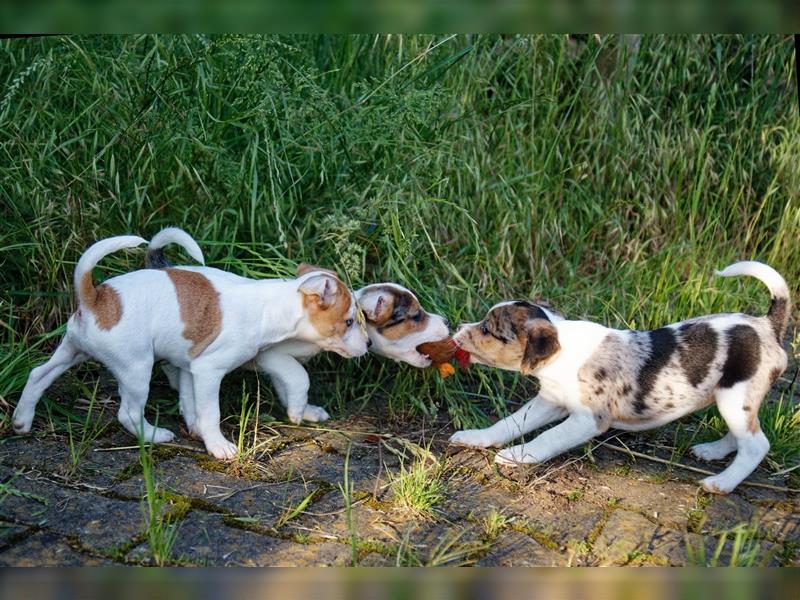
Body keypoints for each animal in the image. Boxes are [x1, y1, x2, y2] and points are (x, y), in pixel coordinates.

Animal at [12, 232, 368, 458]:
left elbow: (191, 401)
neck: (270, 306)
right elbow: (211, 412)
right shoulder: (209, 369)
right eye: (350, 321)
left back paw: (22, 420)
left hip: (72, 351)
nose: (366, 344)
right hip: (137, 368)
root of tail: (95, 298)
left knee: (38, 375)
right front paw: (218, 445)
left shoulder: (193, 365)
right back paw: (155, 436)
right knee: (128, 412)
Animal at [454, 262, 792, 492]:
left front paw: (517, 455)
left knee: (756, 444)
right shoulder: (550, 401)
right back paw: (712, 451)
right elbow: (507, 423)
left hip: (736, 396)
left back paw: (722, 482)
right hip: (731, 399)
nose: (457, 328)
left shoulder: (588, 420)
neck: (561, 353)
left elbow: (547, 437)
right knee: (741, 435)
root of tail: (767, 324)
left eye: (488, 330)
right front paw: (477, 437)